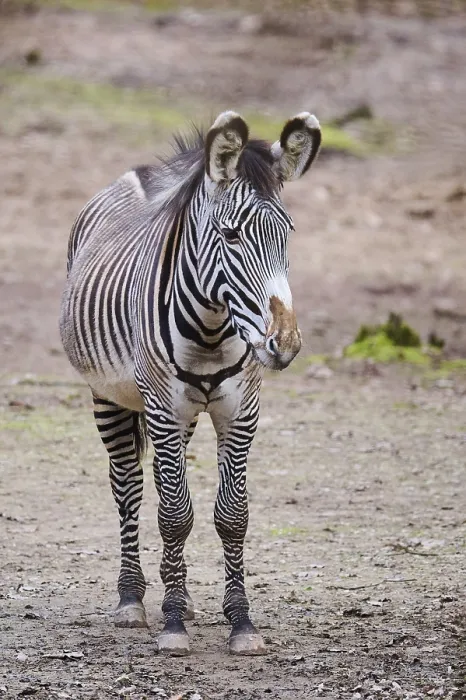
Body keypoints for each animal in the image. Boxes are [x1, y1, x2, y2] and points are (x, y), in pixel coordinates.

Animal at [60, 111, 321, 656]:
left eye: (287, 234)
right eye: (231, 235)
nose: (285, 344)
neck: (211, 327)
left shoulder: (240, 411)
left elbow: (231, 514)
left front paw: (240, 621)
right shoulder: (161, 406)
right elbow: (175, 514)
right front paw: (173, 624)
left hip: (179, 419)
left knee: (161, 487)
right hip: (110, 398)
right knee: (129, 487)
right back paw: (134, 600)